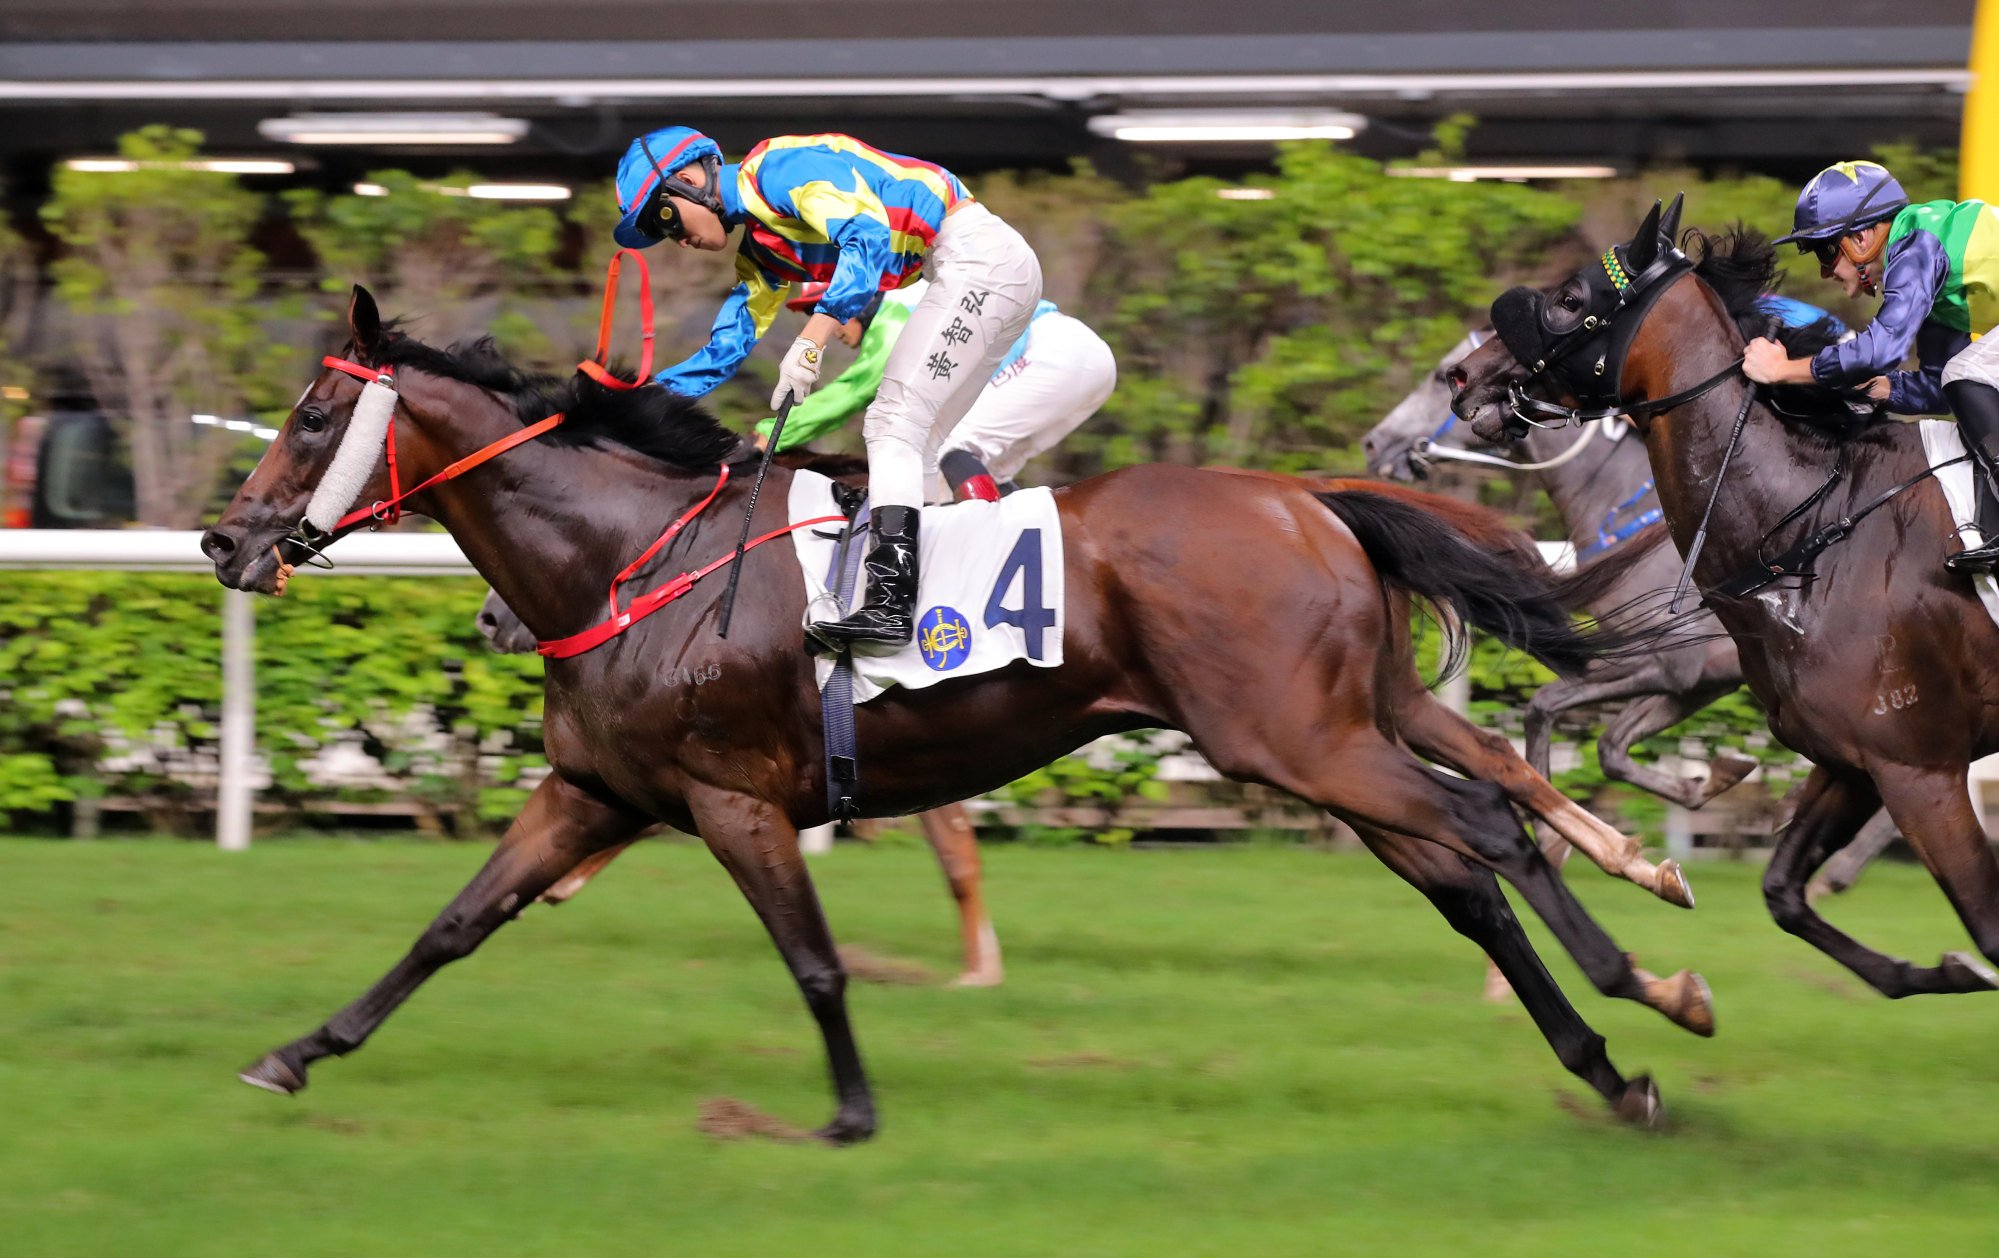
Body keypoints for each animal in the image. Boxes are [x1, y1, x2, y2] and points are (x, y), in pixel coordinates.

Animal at [198, 284, 1703, 1136]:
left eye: (314, 412)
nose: (224, 540)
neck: (635, 559)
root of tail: (1304, 494)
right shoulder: (596, 792)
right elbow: (453, 923)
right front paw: (294, 1053)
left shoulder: (733, 797)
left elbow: (812, 960)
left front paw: (852, 1108)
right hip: (1345, 724)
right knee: (1474, 850)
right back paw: (1616, 1044)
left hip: (1294, 739)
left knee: (1483, 831)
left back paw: (1648, 983)